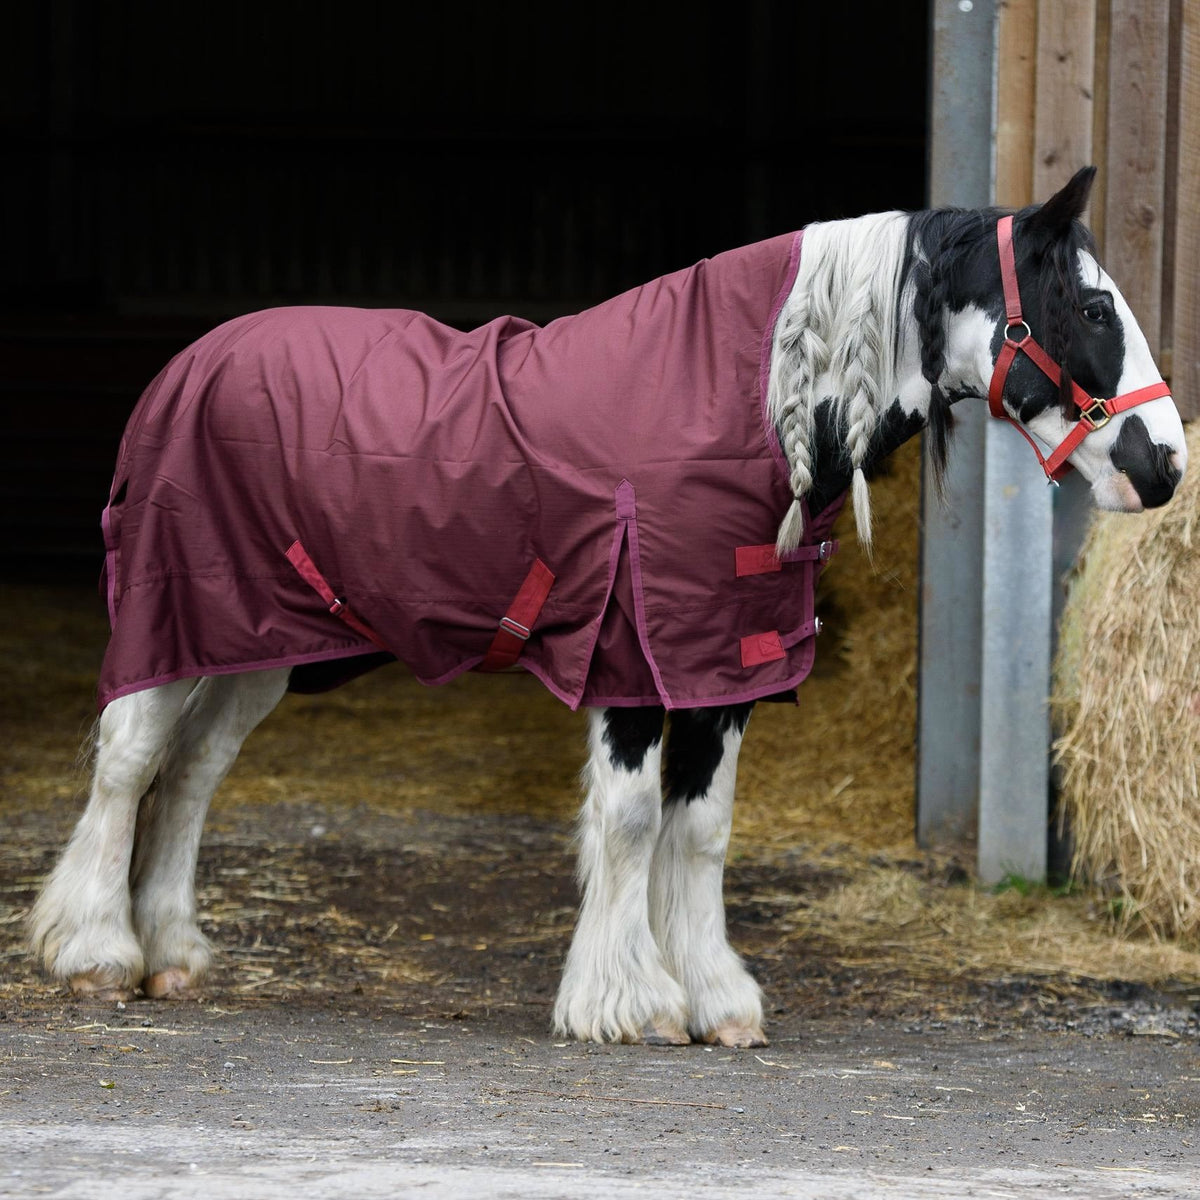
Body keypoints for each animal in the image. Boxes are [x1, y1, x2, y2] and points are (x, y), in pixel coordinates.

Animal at [29, 166, 1185, 1048]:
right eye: (1093, 309)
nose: (1165, 465)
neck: (749, 401)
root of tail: (191, 360)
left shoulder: (726, 664)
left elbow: (703, 827)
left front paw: (717, 999)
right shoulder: (635, 656)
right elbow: (631, 820)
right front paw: (629, 1002)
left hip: (254, 645)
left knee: (191, 776)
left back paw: (173, 955)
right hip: (177, 618)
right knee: (132, 761)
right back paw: (95, 953)